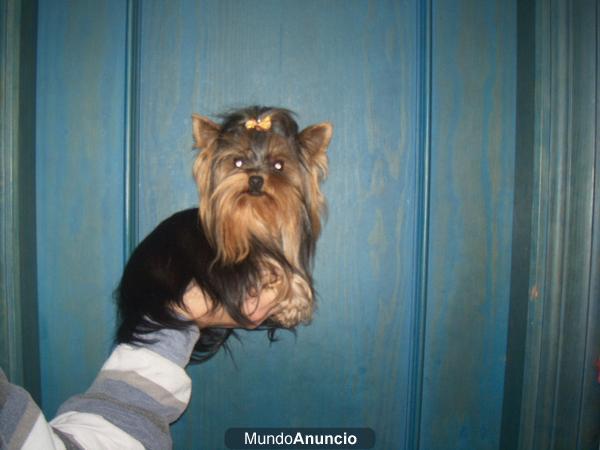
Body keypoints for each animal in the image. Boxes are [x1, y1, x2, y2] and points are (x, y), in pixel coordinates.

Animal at [116, 104, 332, 358]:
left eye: (279, 165)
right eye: (237, 162)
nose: (256, 179)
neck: (254, 219)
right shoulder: (230, 271)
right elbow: (280, 272)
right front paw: (293, 297)